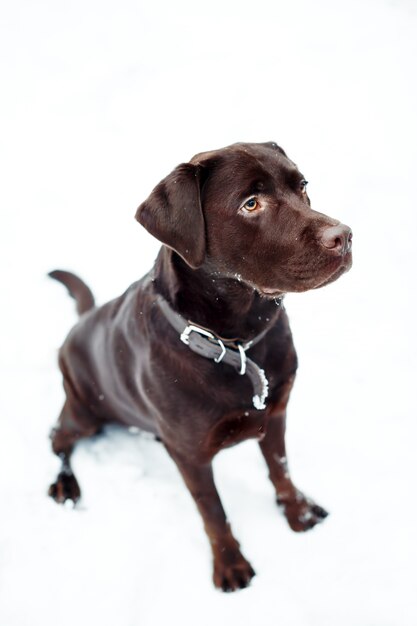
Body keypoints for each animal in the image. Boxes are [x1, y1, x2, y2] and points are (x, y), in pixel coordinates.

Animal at [48, 141, 352, 588]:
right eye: (250, 203)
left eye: (302, 186)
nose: (344, 236)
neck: (237, 342)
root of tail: (82, 320)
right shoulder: (190, 454)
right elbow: (212, 510)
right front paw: (230, 564)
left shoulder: (276, 412)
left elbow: (280, 469)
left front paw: (298, 512)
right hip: (83, 412)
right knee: (59, 440)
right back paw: (65, 484)